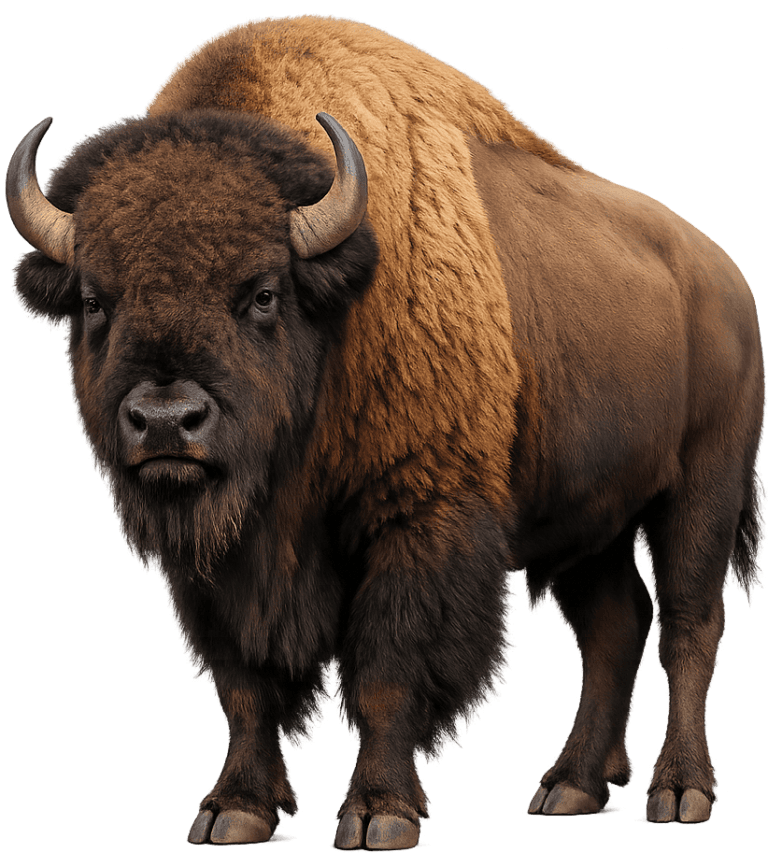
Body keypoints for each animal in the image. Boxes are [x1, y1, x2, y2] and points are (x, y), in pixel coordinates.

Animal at [6, 14, 764, 850]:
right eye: (93, 300)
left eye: (263, 292)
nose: (167, 420)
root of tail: (725, 276)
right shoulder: (218, 566)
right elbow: (244, 683)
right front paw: (233, 808)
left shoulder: (418, 518)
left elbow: (387, 670)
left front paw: (378, 812)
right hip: (590, 520)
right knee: (614, 627)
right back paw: (568, 785)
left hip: (701, 488)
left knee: (688, 626)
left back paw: (679, 791)